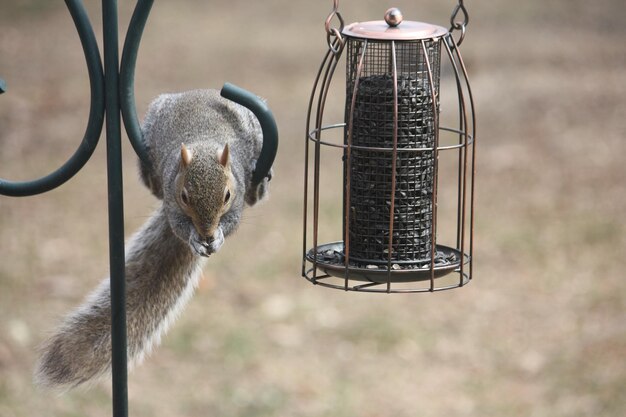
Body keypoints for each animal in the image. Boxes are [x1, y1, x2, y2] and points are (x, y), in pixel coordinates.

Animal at [34, 89, 272, 388]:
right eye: (184, 196)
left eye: (227, 195)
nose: (206, 233)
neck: (204, 142)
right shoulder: (172, 199)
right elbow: (179, 225)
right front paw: (194, 238)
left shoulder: (237, 196)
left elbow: (232, 221)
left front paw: (217, 236)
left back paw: (259, 187)